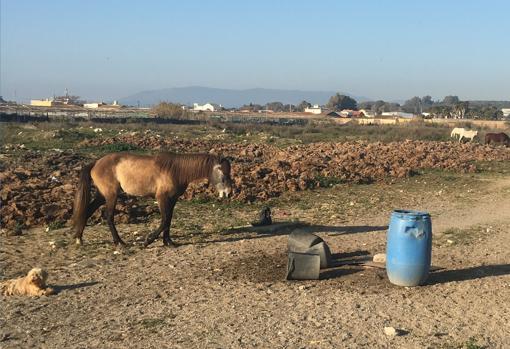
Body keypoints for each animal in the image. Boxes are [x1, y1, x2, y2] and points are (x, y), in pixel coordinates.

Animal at [71, 153, 233, 247]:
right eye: (223, 173)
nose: (229, 193)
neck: (175, 170)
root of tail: (95, 163)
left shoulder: (172, 199)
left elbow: (169, 219)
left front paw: (168, 242)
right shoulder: (162, 198)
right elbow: (164, 219)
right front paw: (148, 241)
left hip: (102, 195)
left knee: (88, 210)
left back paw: (79, 238)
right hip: (111, 195)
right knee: (109, 216)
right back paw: (120, 242)